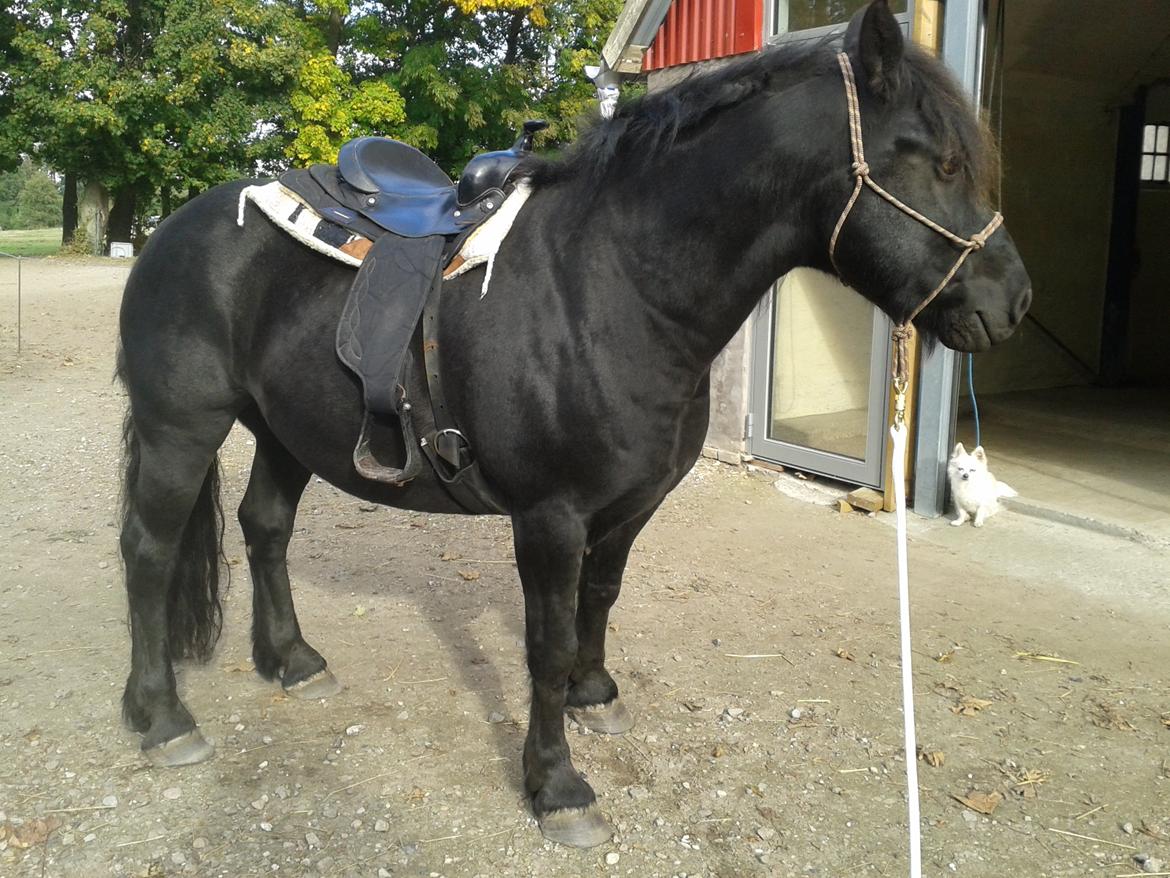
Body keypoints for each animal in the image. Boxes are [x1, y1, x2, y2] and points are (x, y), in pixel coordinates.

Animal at [116, 1, 1034, 852]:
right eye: (944, 161)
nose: (1014, 304)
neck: (615, 285)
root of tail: (175, 227)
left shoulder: (628, 507)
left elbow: (600, 599)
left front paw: (597, 695)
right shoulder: (550, 518)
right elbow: (547, 645)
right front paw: (556, 786)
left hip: (285, 431)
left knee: (264, 527)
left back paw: (291, 663)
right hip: (181, 429)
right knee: (149, 552)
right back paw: (161, 716)